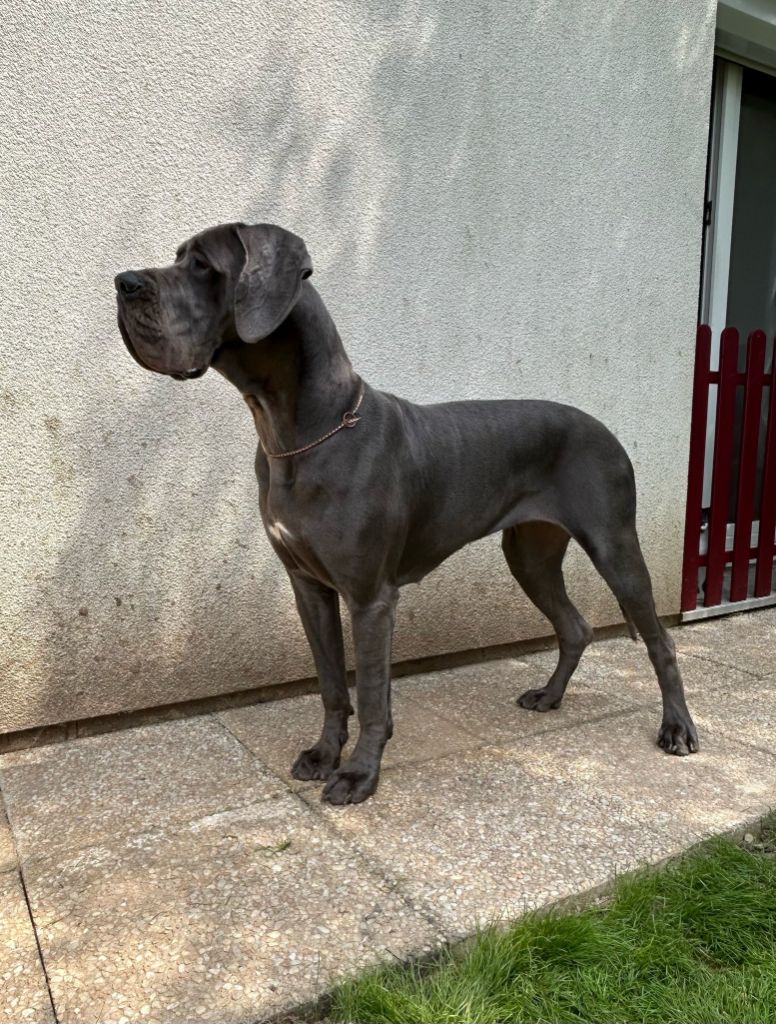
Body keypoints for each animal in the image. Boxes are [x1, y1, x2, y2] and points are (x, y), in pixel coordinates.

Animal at [117, 220, 704, 802]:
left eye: (202, 265)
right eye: (178, 257)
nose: (123, 282)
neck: (300, 432)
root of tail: (606, 428)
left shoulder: (370, 597)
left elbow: (372, 692)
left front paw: (359, 773)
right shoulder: (308, 586)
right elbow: (332, 684)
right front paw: (325, 754)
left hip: (614, 545)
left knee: (660, 641)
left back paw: (677, 727)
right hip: (530, 556)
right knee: (575, 627)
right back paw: (549, 696)